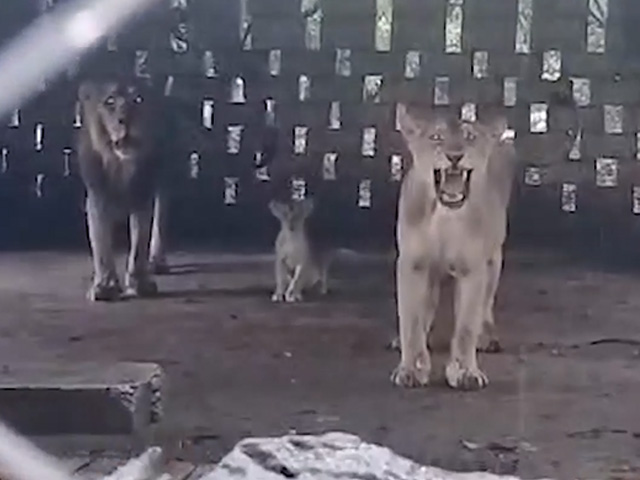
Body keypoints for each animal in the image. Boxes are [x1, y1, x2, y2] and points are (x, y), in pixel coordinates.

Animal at [76, 78, 168, 301]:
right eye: (110, 101)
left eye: (139, 99)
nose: (125, 120)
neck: (121, 166)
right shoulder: (97, 196)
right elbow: (100, 243)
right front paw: (105, 286)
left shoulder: (143, 194)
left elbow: (139, 242)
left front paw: (140, 283)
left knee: (161, 216)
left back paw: (157, 260)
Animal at [389, 103, 517, 390]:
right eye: (436, 137)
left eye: (470, 137)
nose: (455, 157)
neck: (444, 217)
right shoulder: (412, 265)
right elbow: (411, 321)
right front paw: (411, 369)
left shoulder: (473, 269)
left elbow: (467, 325)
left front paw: (466, 372)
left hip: (494, 260)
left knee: (485, 303)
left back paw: (486, 336)